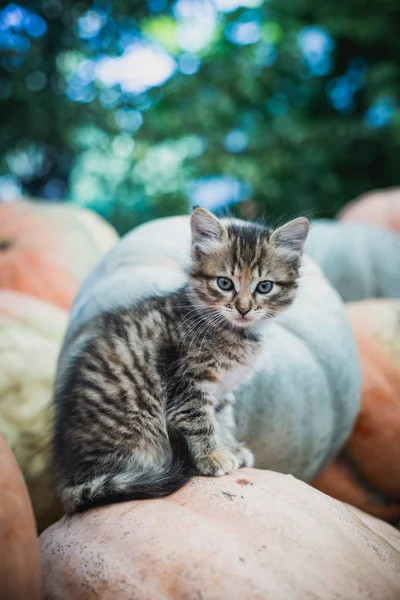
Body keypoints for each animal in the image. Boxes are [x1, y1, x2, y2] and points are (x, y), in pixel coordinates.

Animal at [53, 209, 310, 512]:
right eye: (224, 283)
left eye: (265, 286)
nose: (244, 308)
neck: (235, 332)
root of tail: (71, 478)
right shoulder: (185, 380)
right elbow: (199, 421)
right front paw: (212, 456)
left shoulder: (222, 390)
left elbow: (223, 419)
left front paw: (230, 446)